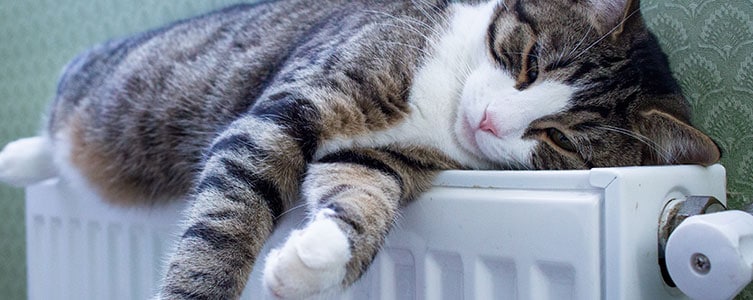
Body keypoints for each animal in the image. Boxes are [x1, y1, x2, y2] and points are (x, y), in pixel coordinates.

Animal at [0, 0, 720, 298]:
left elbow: (360, 194)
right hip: (97, 91)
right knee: (59, 121)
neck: (441, 104)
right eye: (529, 60)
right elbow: (224, 228)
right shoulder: (288, 107)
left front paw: (315, 256)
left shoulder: (386, 158)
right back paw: (19, 157)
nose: (489, 120)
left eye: (560, 137)